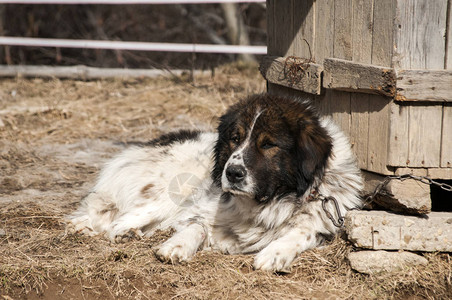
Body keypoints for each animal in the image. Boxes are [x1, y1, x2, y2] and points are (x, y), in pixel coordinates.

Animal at [66, 93, 364, 272]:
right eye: (235, 138)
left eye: (268, 144)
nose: (232, 173)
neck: (271, 202)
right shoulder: (203, 208)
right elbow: (196, 225)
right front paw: (177, 245)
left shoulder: (325, 222)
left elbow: (301, 232)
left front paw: (275, 252)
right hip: (169, 192)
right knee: (113, 220)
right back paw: (109, 230)